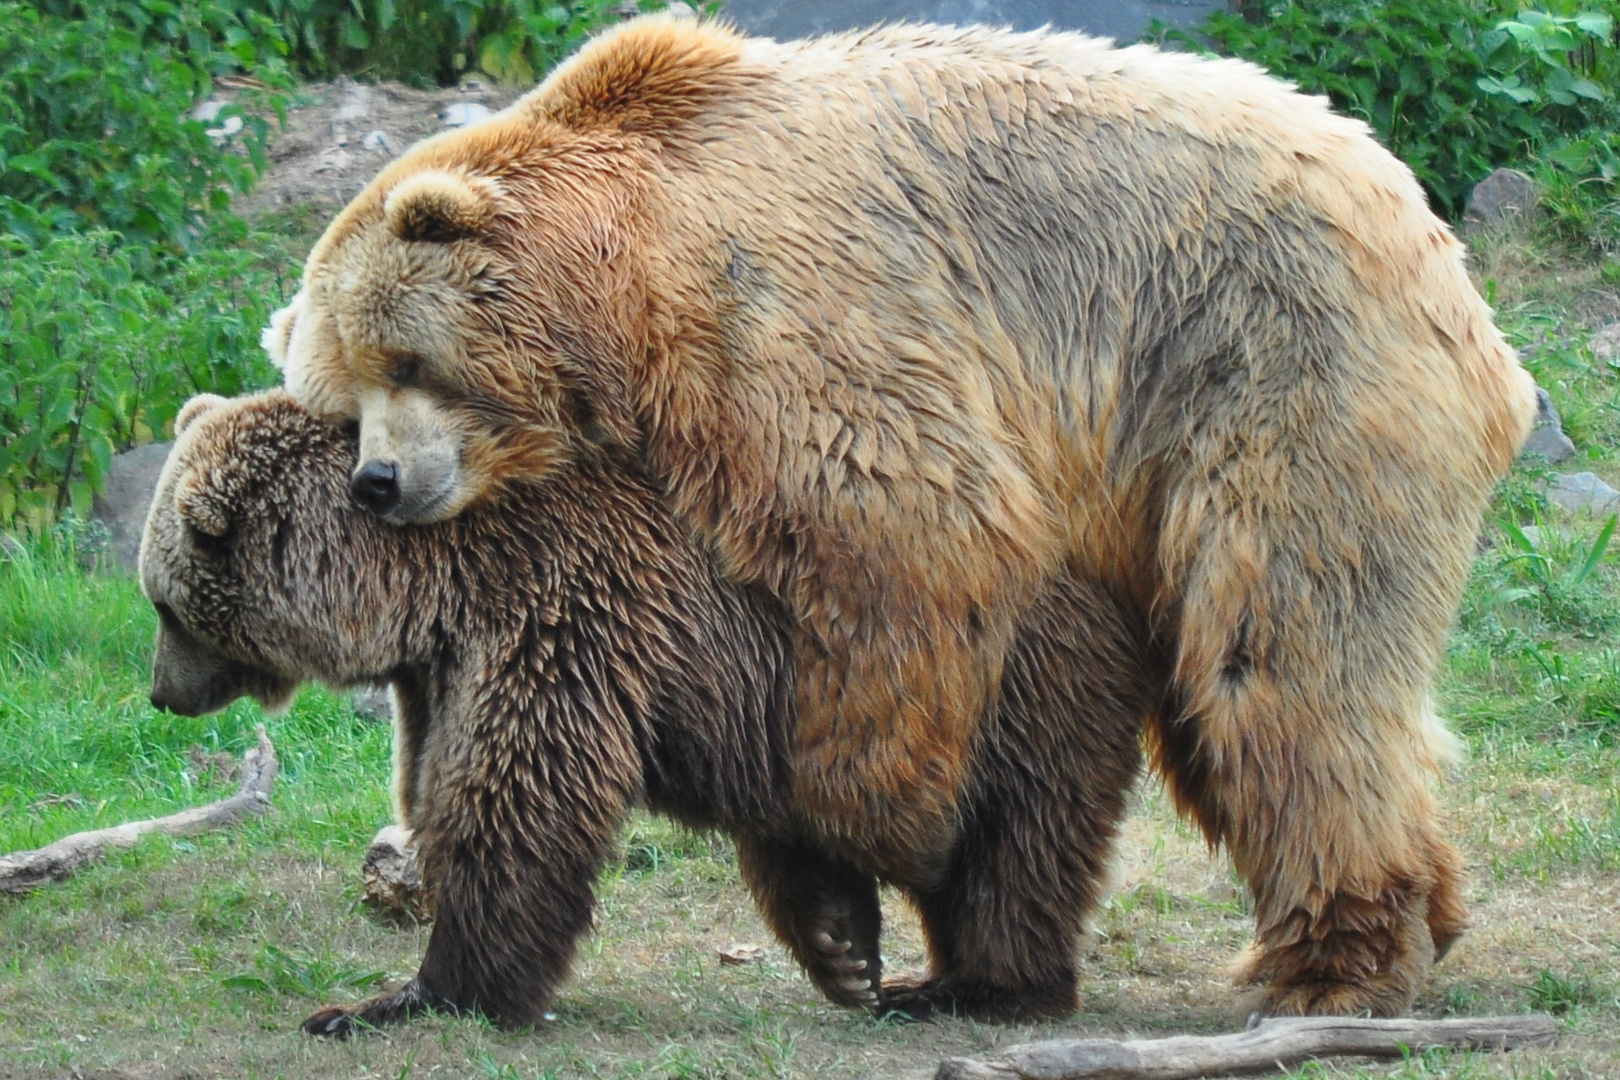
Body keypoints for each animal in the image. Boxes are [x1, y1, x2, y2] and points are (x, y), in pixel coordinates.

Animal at [141, 389, 1148, 1032]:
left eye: (163, 603)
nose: (159, 691)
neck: (424, 580)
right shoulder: (458, 666)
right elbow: (438, 787)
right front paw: (841, 944)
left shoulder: (560, 615)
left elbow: (514, 806)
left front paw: (407, 996)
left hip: (1010, 678)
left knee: (1016, 834)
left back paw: (983, 986)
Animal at [263, 15, 1538, 1016]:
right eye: (340, 395)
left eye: (405, 360)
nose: (381, 483)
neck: (628, 289)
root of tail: (1453, 273)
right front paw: (835, 915)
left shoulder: (789, 314)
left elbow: (917, 536)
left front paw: (876, 835)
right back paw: (1423, 910)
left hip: (1273, 370)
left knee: (1276, 663)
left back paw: (1331, 962)